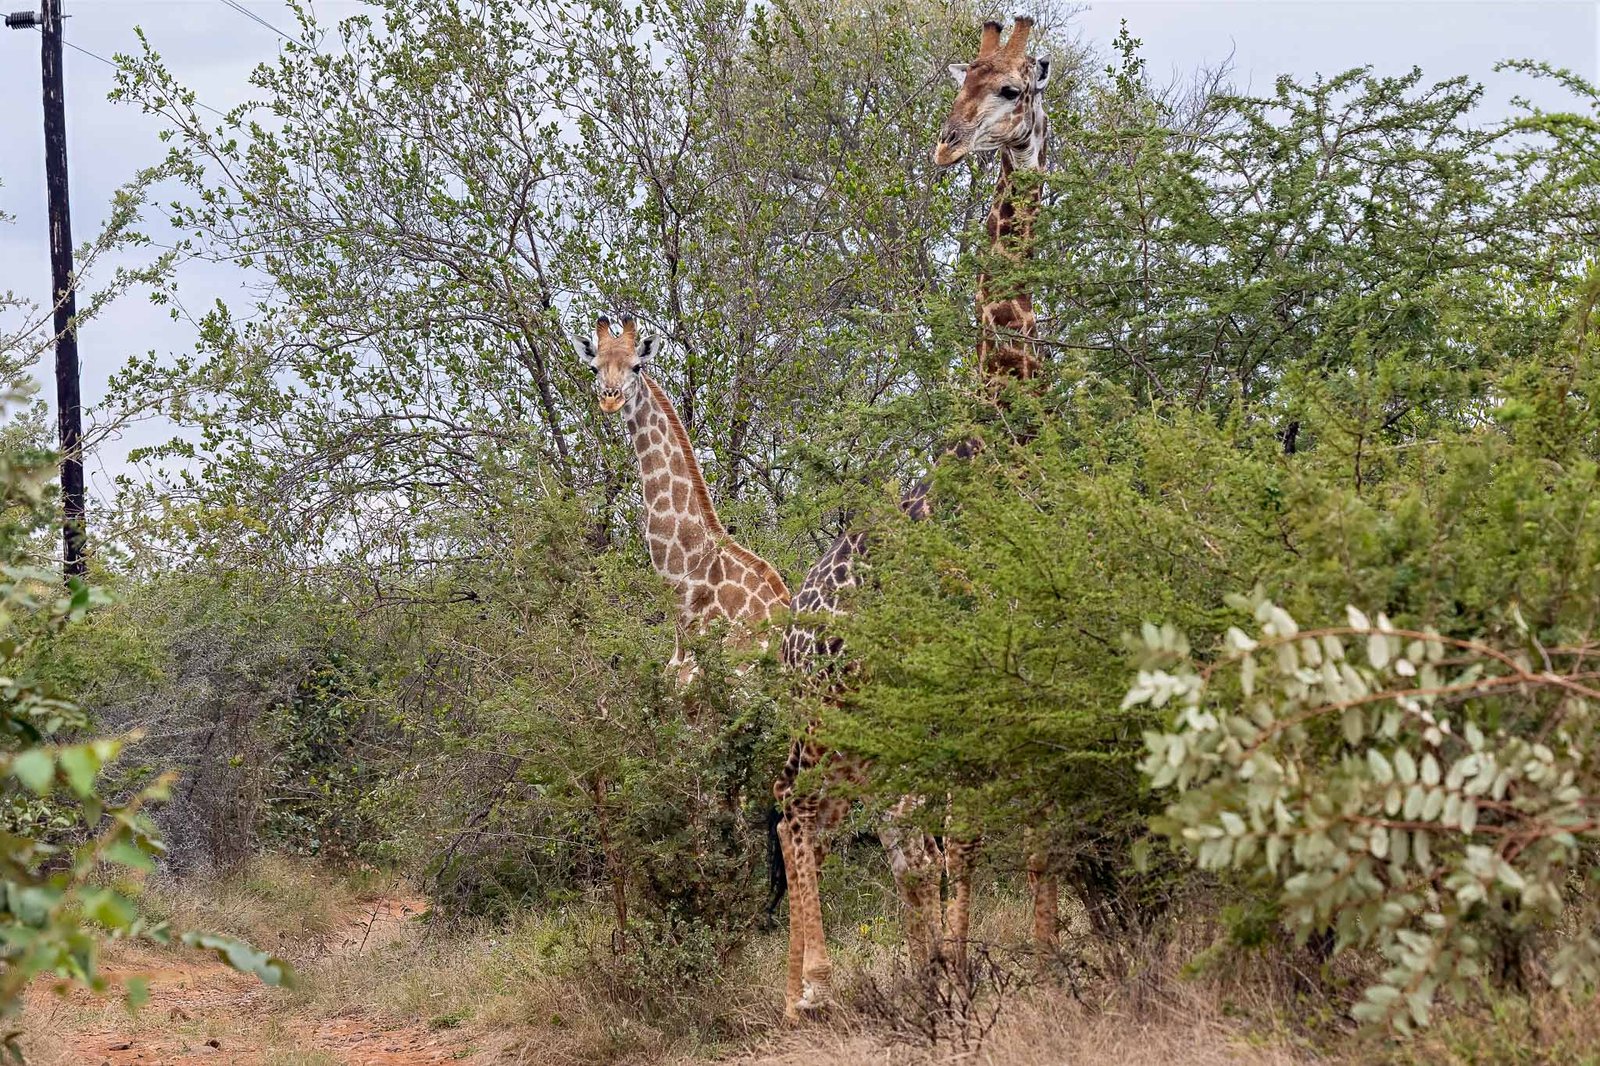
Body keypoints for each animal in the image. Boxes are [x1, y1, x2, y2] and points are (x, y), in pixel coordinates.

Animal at [772, 16, 1055, 1020]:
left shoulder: (1020, 661)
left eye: (1012, 89)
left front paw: (1015, 964)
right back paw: (813, 988)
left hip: (872, 730)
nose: (945, 144)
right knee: (792, 804)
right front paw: (965, 980)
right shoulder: (972, 665)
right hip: (828, 717)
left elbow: (1004, 826)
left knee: (873, 833)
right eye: (960, 83)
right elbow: (962, 836)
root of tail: (789, 628)